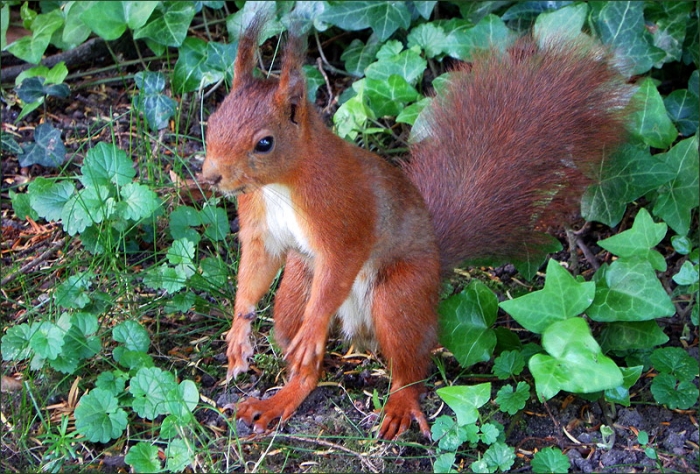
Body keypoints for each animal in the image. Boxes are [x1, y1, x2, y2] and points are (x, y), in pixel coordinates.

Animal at [200, 17, 632, 440]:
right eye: (213, 121)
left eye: (265, 143)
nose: (211, 177)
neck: (281, 185)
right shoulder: (260, 223)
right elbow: (257, 266)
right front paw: (238, 333)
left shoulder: (344, 214)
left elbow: (341, 263)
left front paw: (310, 329)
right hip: (295, 291)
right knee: (306, 366)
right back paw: (278, 401)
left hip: (399, 296)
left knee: (409, 366)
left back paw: (398, 405)